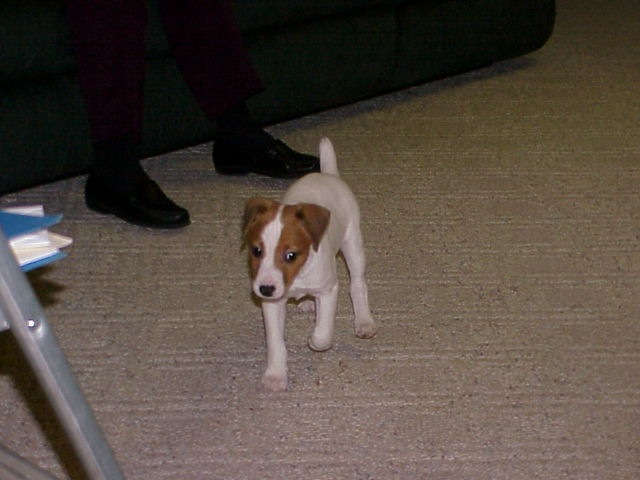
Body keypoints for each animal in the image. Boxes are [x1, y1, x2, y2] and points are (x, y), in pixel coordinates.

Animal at [242, 137, 378, 392]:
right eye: (256, 251)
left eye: (291, 255)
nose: (265, 289)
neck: (298, 276)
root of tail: (327, 174)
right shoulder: (272, 302)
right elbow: (275, 342)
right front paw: (275, 375)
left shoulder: (328, 290)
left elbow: (323, 332)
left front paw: (314, 340)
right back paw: (306, 303)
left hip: (353, 244)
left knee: (357, 284)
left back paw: (364, 321)